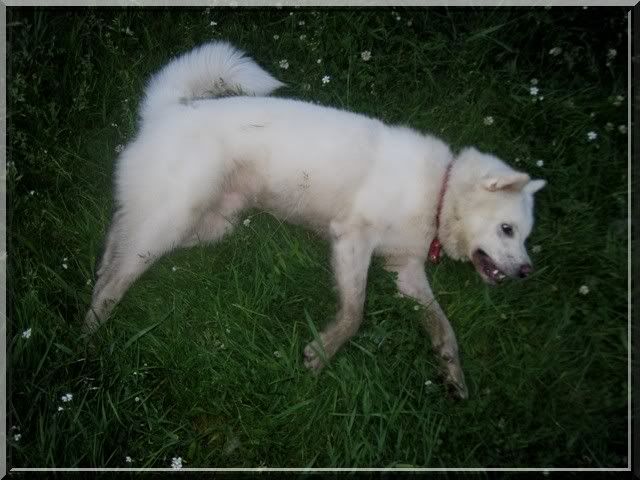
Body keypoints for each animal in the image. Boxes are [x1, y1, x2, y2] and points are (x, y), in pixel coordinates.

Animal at [85, 41, 546, 399]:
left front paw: (452, 372)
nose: (527, 272)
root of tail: (167, 109)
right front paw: (323, 352)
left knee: (115, 242)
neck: (438, 191)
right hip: (173, 217)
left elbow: (443, 327)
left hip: (206, 225)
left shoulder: (406, 272)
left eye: (525, 237)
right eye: (507, 229)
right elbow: (355, 312)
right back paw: (90, 336)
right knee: (116, 275)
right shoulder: (351, 240)